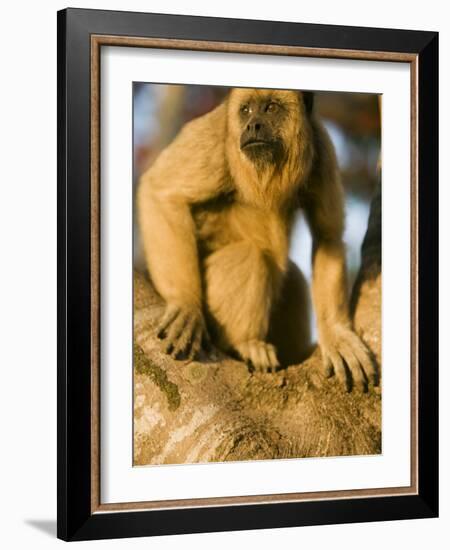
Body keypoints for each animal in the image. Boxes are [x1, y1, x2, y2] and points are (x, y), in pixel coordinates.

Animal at [137, 87, 376, 392]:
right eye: (246, 110)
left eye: (271, 108)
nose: (253, 126)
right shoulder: (215, 136)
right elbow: (160, 191)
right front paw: (185, 304)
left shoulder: (323, 148)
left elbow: (328, 236)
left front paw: (336, 336)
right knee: (250, 255)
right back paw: (245, 343)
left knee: (293, 277)